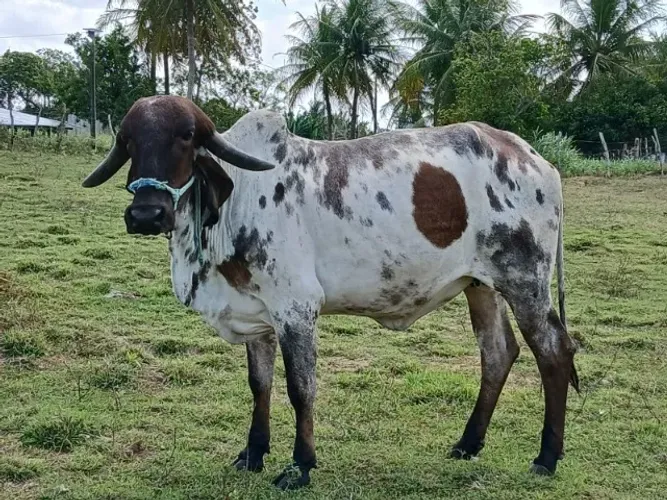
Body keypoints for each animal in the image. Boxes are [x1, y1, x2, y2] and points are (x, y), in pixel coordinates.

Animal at [81, 95, 579, 490]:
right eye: (128, 140)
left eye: (185, 137)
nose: (146, 214)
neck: (237, 198)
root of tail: (538, 160)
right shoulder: (258, 315)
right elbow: (259, 385)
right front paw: (253, 454)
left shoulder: (297, 309)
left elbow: (300, 388)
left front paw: (299, 465)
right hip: (481, 286)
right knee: (497, 353)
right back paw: (468, 443)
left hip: (525, 282)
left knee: (554, 352)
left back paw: (546, 458)